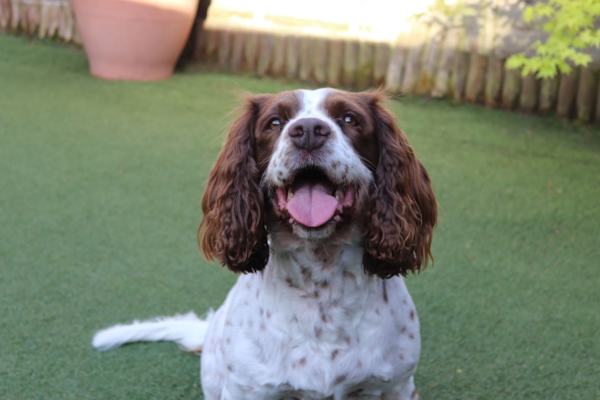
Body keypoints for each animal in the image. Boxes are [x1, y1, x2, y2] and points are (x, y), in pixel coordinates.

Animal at [95, 90, 440, 400]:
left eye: (349, 119)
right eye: (274, 122)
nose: (309, 131)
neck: (322, 289)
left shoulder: (396, 387)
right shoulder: (246, 390)